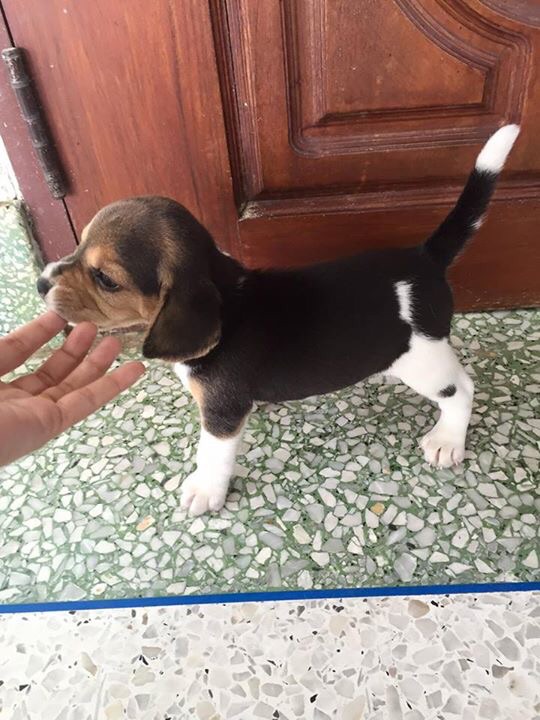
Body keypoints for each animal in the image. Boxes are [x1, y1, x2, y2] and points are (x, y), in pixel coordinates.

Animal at [37, 125, 520, 515]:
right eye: (78, 245)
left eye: (105, 279)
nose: (41, 283)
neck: (226, 295)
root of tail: (425, 259)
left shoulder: (221, 410)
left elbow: (212, 453)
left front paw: (205, 491)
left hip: (425, 360)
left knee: (461, 389)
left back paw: (447, 440)